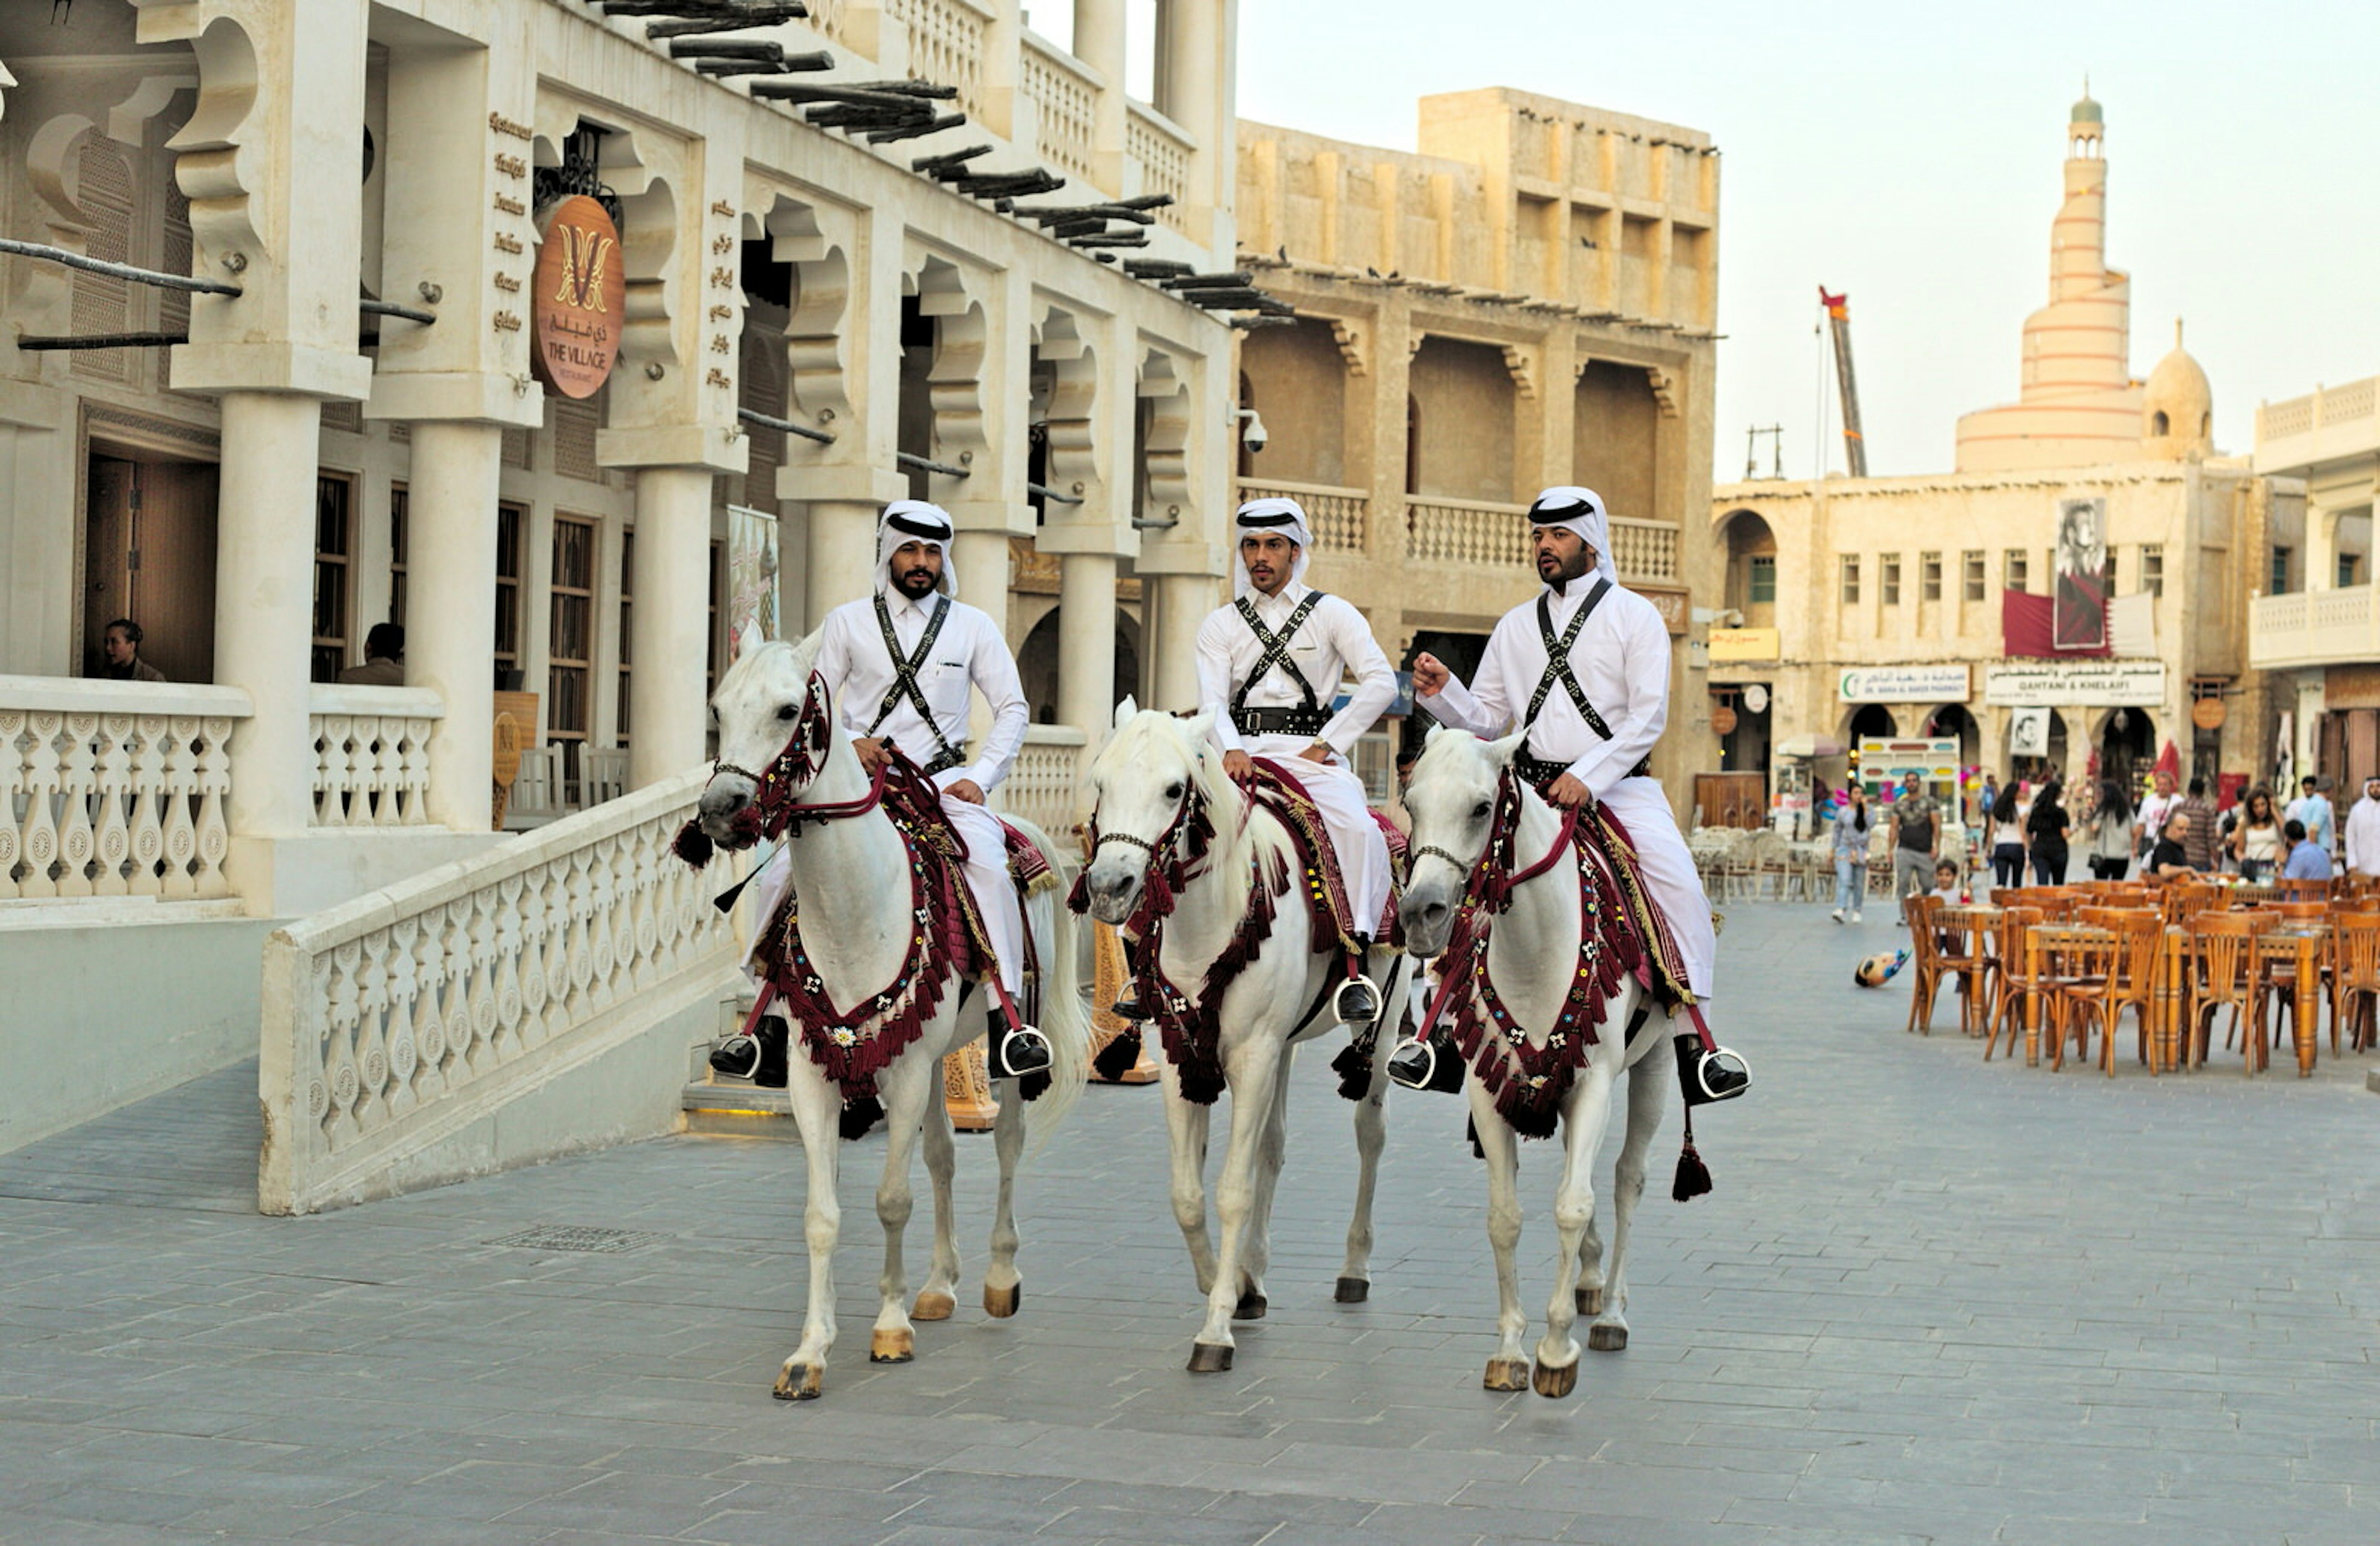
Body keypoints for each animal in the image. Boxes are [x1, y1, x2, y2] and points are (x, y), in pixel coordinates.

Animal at [695, 634, 1090, 1400]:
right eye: (719, 708)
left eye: (787, 709)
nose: (721, 808)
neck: (855, 905)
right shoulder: (814, 1073)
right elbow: (824, 1215)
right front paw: (811, 1351)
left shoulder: (902, 1075)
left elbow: (890, 1199)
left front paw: (888, 1326)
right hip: (933, 1059)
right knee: (942, 1157)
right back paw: (936, 1285)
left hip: (996, 1049)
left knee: (1005, 1147)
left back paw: (998, 1276)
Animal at [1075, 705, 1399, 1372]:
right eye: (1101, 782)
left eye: (1174, 789)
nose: (1110, 886)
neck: (1211, 922)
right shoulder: (1184, 1055)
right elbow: (1188, 1194)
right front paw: (1223, 1287)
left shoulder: (1252, 1054)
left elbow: (1231, 1190)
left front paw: (1216, 1328)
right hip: (1284, 1046)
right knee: (1273, 1147)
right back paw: (1253, 1273)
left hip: (1379, 1027)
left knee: (1370, 1136)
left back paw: (1354, 1267)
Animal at [1390, 728, 1675, 1391]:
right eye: (1411, 804)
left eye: (1480, 808)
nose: (1421, 914)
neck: (1534, 949)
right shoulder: (1489, 1089)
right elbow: (1506, 1217)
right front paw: (1511, 1350)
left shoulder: (1595, 1083)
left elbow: (1573, 1205)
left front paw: (1556, 1349)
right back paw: (1590, 1282)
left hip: (1654, 1067)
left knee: (1626, 1179)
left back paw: (1611, 1312)